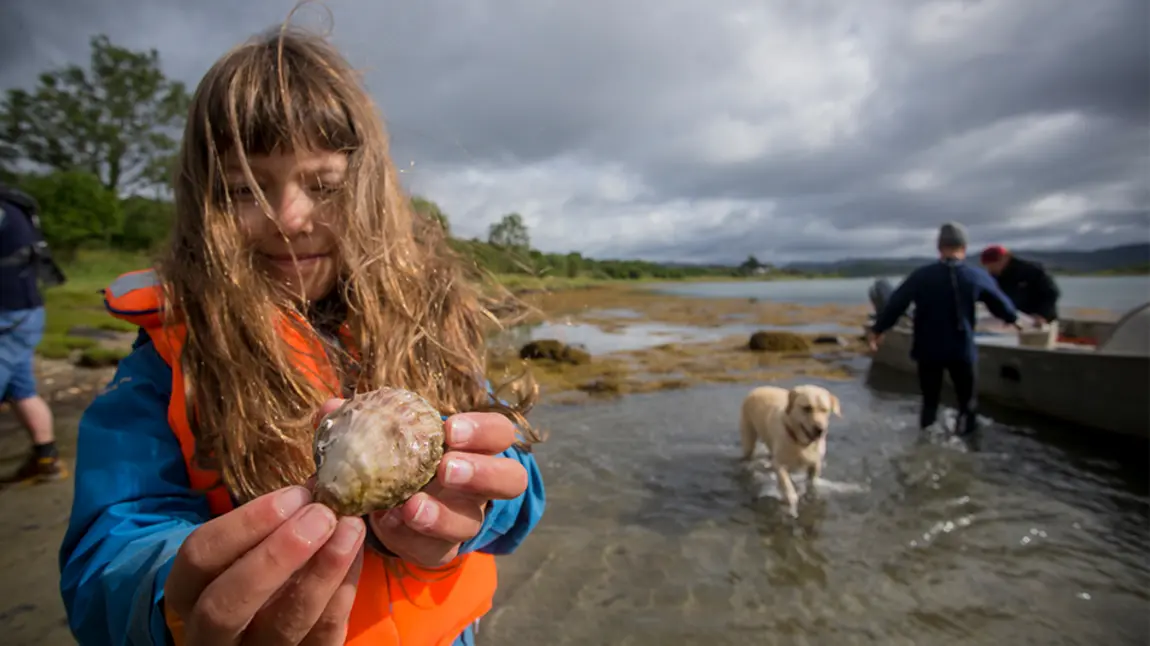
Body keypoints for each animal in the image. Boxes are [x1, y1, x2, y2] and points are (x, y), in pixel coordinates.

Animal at [740, 383, 841, 514]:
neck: (800, 442)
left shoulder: (815, 464)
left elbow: (812, 483)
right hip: (748, 436)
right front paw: (791, 503)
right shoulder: (780, 465)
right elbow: (788, 486)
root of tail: (758, 388)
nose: (820, 430)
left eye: (824, 410)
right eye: (807, 408)